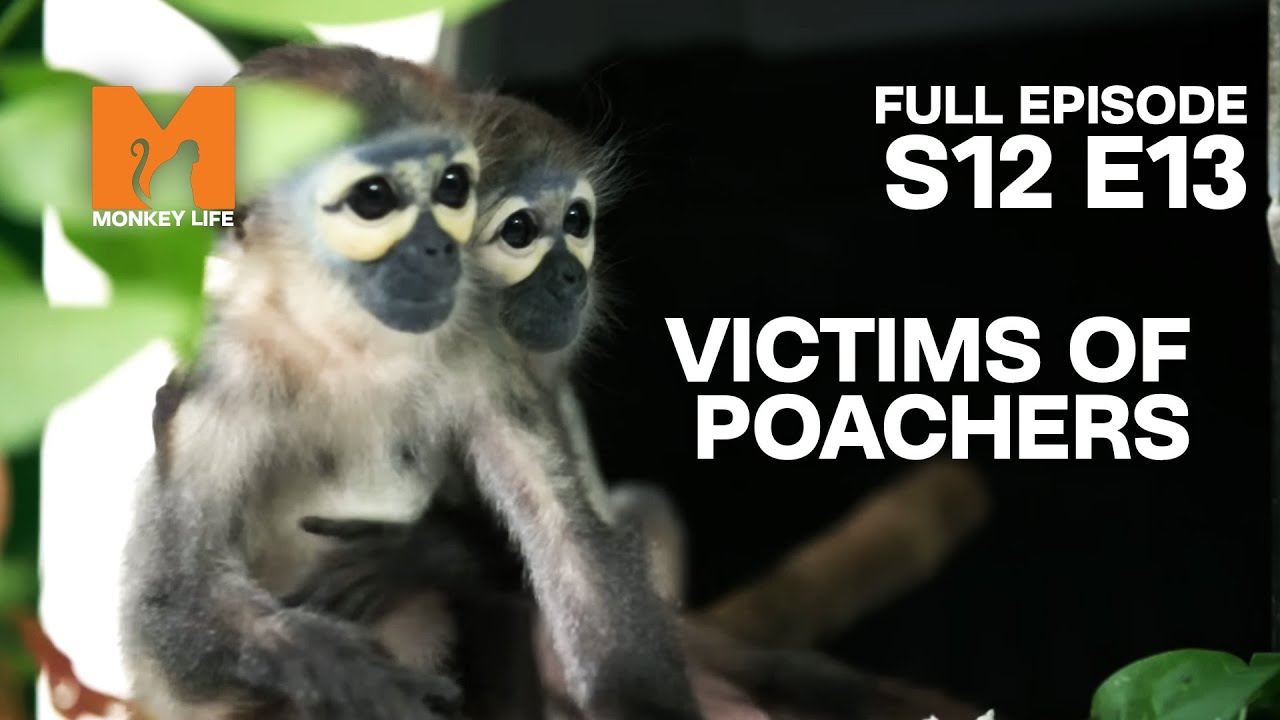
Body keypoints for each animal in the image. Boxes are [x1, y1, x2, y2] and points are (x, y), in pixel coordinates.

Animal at [122, 43, 702, 720]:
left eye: (576, 221)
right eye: (520, 232)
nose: (569, 276)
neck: (353, 346)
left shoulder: (483, 352)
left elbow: (576, 542)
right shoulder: (224, 371)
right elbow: (170, 606)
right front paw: (350, 676)